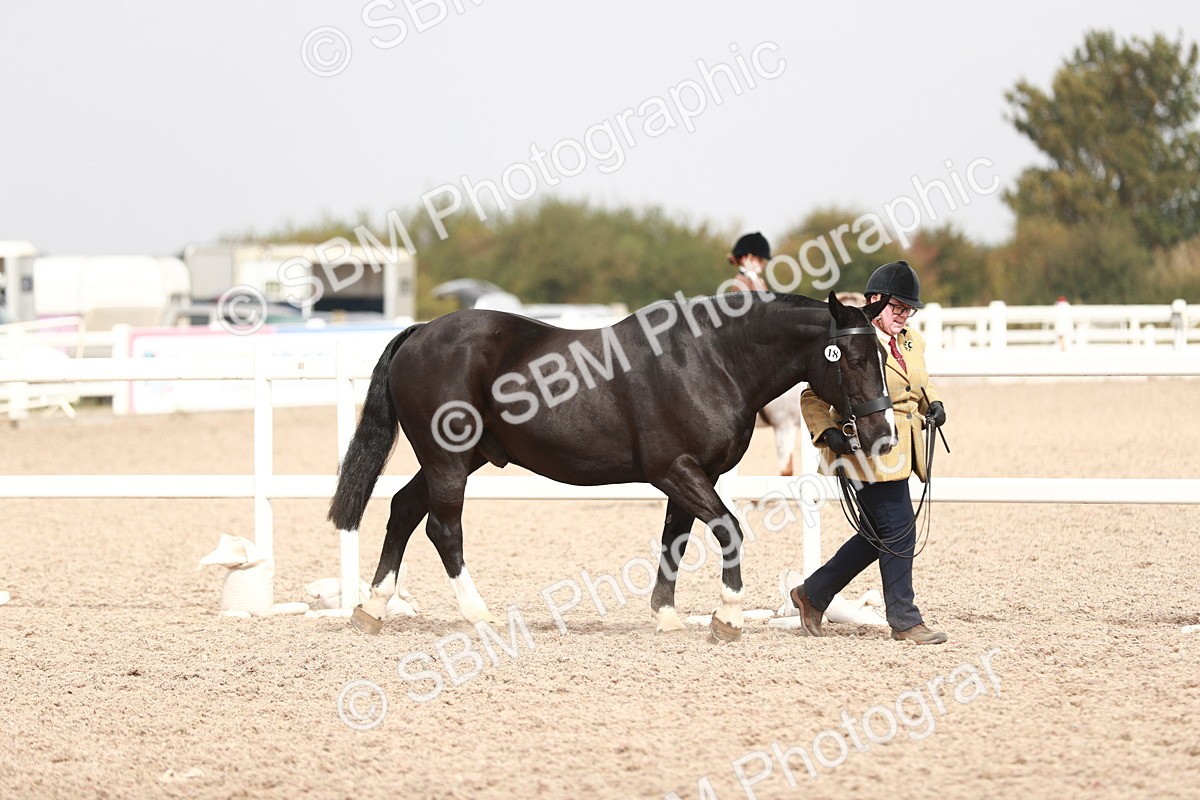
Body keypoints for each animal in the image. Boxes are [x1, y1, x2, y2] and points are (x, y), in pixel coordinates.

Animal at [328, 290, 896, 640]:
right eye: (852, 359)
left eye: (885, 355)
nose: (882, 436)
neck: (710, 361)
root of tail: (421, 333)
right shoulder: (675, 470)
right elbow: (728, 529)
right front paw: (728, 617)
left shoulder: (695, 475)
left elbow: (675, 539)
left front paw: (667, 617)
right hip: (446, 460)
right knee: (443, 530)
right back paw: (479, 615)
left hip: (460, 459)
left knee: (403, 510)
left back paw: (372, 610)